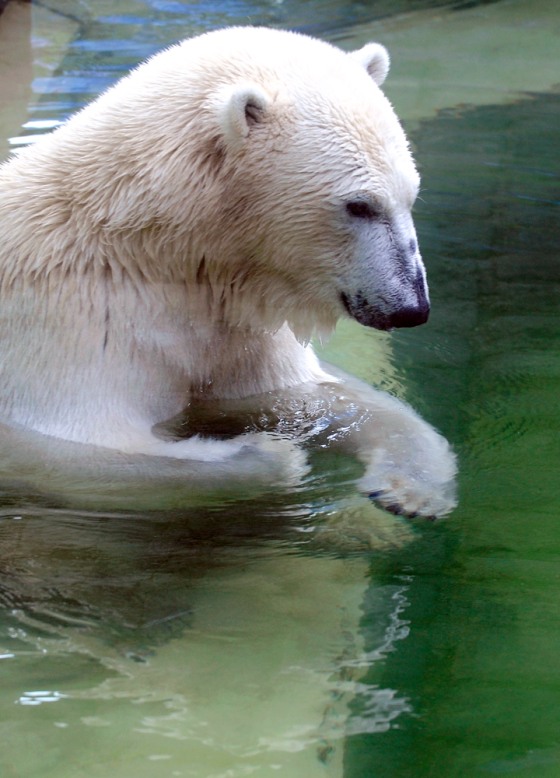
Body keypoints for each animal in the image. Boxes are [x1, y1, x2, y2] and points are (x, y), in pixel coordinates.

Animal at [0, 26, 456, 519]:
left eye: (410, 195)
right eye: (359, 205)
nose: (411, 307)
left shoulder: (234, 318)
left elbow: (306, 395)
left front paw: (412, 488)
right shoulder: (73, 322)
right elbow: (82, 450)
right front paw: (269, 451)